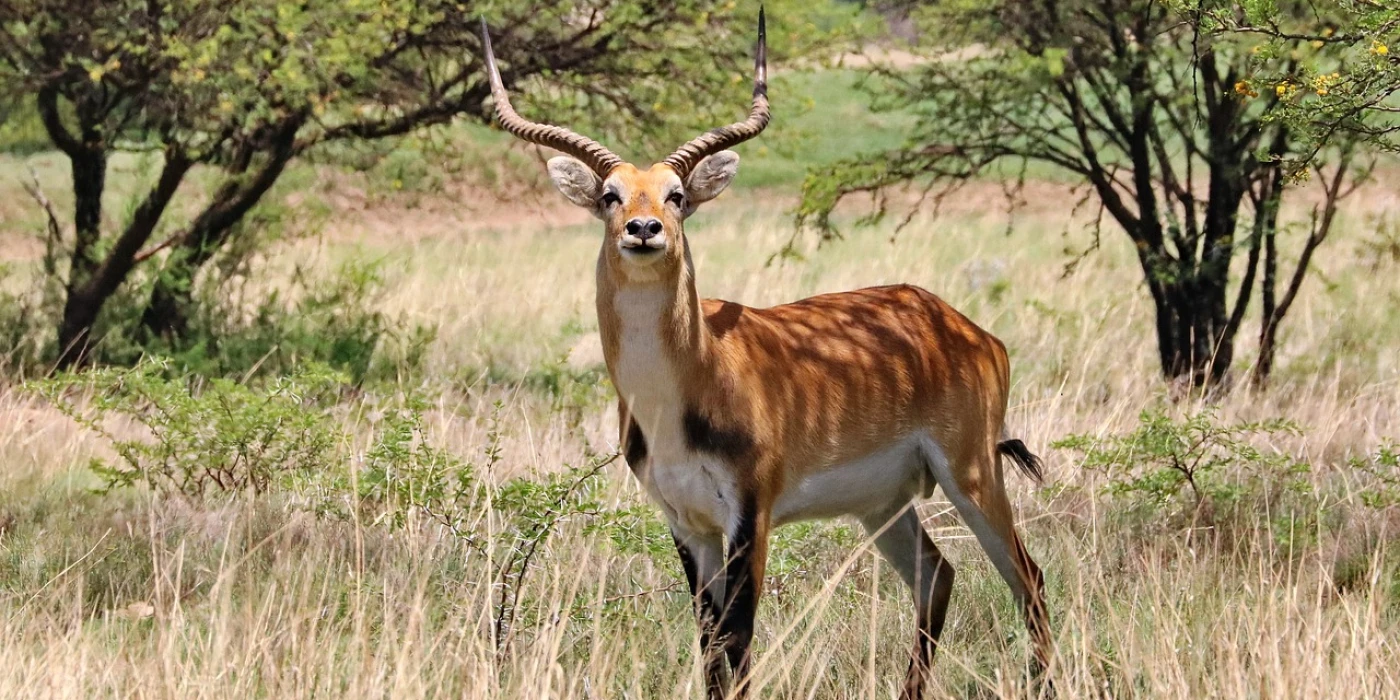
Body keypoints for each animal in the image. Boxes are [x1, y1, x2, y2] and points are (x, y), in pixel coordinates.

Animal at [481, 12, 1052, 700]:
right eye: (612, 195)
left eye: (676, 194)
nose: (643, 230)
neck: (691, 383)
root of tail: (962, 325)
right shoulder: (688, 524)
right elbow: (709, 645)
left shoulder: (749, 516)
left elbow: (739, 641)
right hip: (884, 504)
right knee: (937, 575)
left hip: (970, 472)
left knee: (1028, 579)